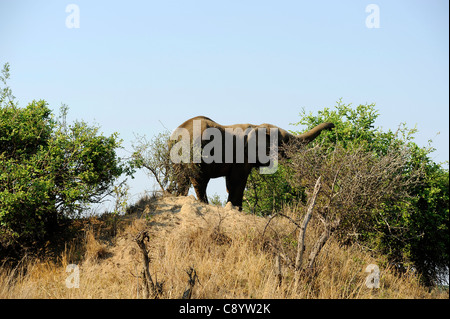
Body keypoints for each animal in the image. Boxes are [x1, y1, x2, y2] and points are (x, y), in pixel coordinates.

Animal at [169, 117, 334, 210]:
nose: (332, 127)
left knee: (183, 180)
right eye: (285, 142)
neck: (257, 126)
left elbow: (231, 183)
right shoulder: (242, 156)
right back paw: (205, 205)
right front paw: (236, 209)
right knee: (200, 180)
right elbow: (237, 182)